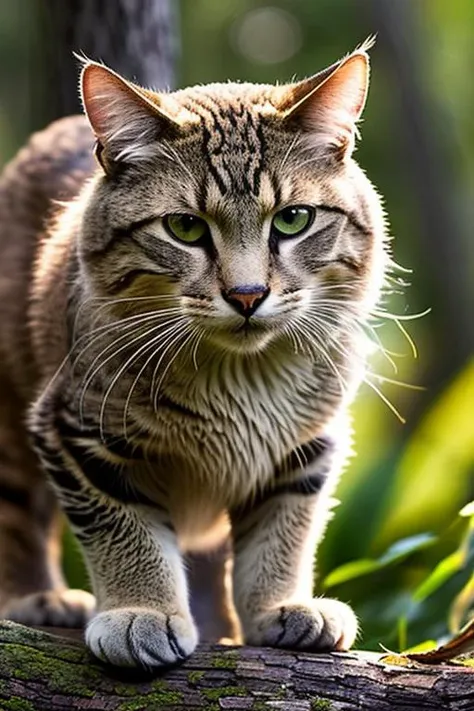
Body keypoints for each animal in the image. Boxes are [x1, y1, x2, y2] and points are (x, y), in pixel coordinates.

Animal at [0, 41, 386, 672]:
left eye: (293, 219)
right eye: (185, 227)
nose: (248, 295)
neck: (242, 377)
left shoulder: (310, 443)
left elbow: (283, 531)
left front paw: (278, 604)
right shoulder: (74, 432)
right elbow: (124, 529)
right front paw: (142, 609)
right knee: (15, 511)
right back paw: (36, 595)